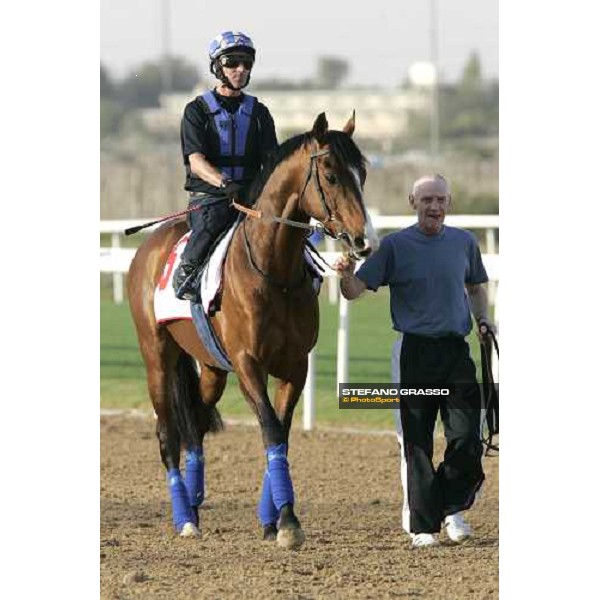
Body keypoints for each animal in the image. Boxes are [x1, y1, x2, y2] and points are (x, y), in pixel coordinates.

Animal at [128, 112, 378, 548]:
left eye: (361, 173)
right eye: (331, 175)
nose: (363, 240)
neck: (274, 272)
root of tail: (148, 246)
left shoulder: (295, 367)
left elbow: (283, 432)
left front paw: (274, 519)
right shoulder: (248, 365)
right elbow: (270, 429)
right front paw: (288, 522)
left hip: (210, 368)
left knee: (196, 426)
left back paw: (195, 503)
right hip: (156, 358)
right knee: (167, 435)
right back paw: (184, 517)